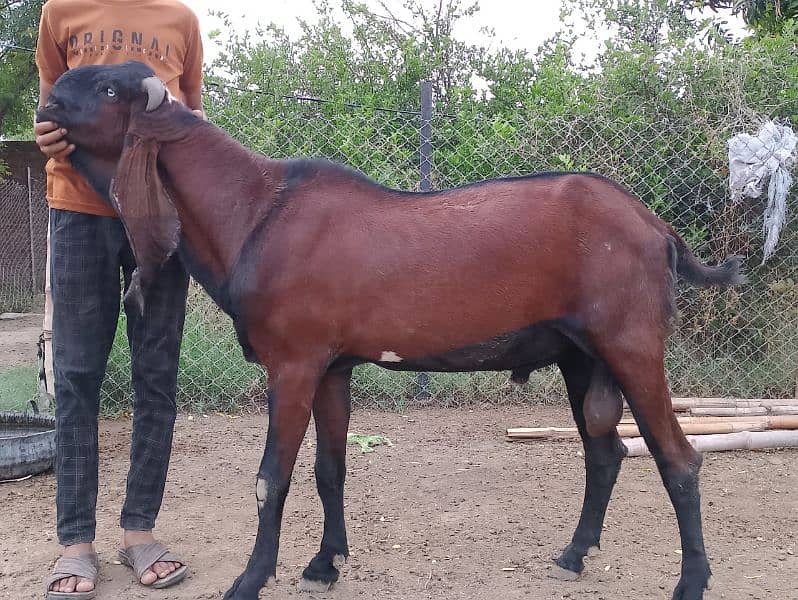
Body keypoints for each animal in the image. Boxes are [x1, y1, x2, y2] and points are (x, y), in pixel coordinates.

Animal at [40, 62, 748, 600]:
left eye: (109, 90)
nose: (49, 96)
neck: (257, 210)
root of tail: (657, 228)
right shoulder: (331, 365)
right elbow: (329, 468)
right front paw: (324, 564)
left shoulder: (293, 362)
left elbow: (273, 477)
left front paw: (249, 580)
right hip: (581, 356)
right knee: (604, 453)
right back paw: (573, 555)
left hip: (632, 345)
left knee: (678, 459)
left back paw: (692, 581)